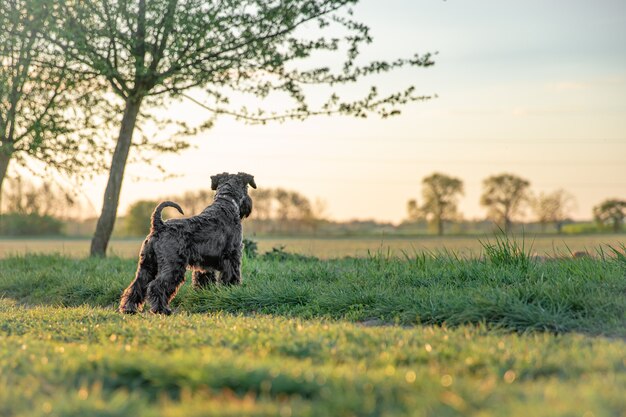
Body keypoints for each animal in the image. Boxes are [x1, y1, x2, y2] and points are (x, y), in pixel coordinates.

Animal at [118, 171, 255, 314]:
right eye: (247, 188)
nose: (249, 204)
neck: (226, 202)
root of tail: (159, 226)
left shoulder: (205, 265)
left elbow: (204, 281)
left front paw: (204, 294)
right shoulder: (232, 256)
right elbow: (232, 276)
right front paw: (231, 290)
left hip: (147, 265)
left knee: (137, 286)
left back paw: (128, 308)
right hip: (173, 266)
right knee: (156, 286)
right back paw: (162, 309)